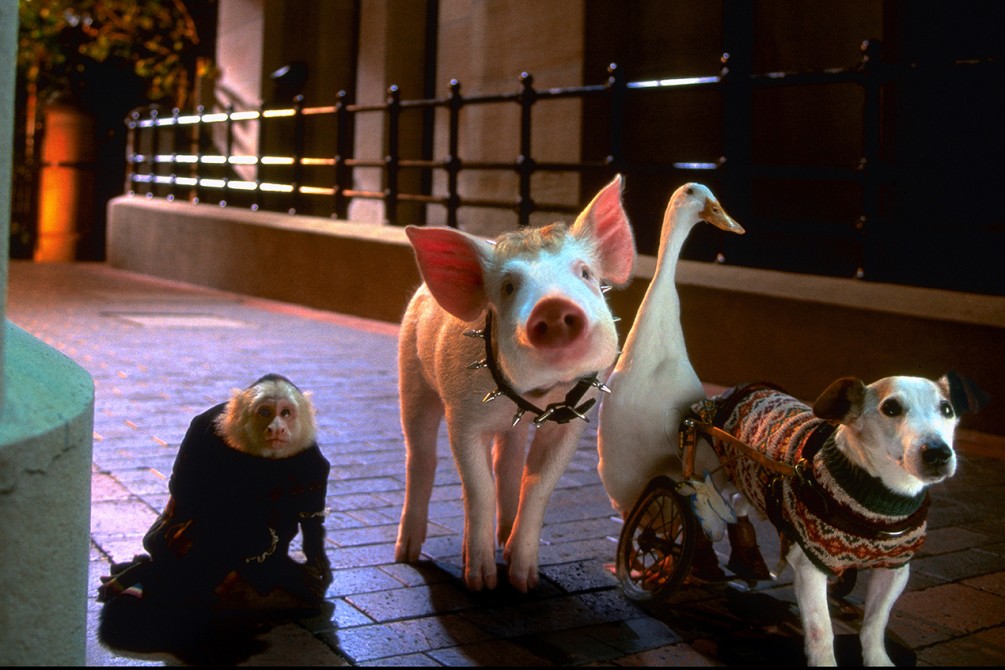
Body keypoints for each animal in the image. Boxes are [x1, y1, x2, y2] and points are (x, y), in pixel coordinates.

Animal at [395, 175, 636, 592]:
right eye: (508, 287)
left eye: (585, 273)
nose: (554, 307)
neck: (533, 396)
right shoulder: (463, 417)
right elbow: (478, 486)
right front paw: (482, 583)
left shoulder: (572, 421)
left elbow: (536, 484)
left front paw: (525, 582)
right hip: (412, 377)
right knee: (421, 456)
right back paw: (406, 554)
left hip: (509, 429)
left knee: (506, 463)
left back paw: (504, 539)